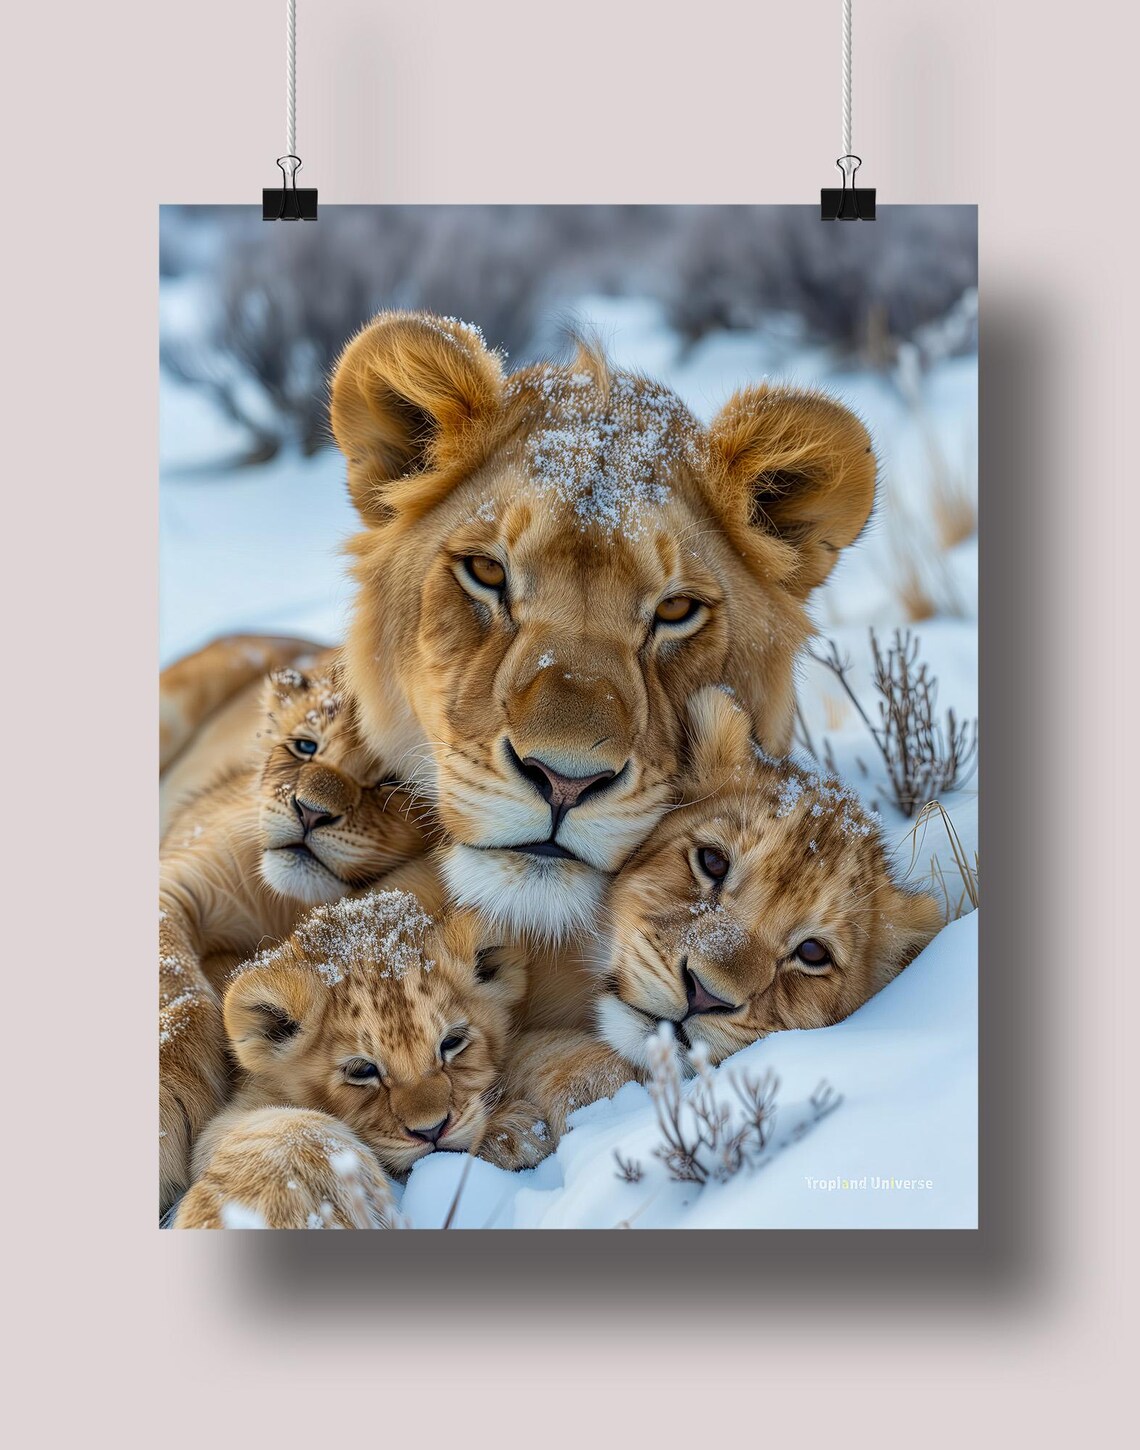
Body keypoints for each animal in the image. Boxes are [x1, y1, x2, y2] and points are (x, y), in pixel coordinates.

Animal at [159, 659, 435, 1214]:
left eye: (390, 782)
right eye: (305, 747)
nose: (309, 810)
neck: (286, 902)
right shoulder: (175, 879)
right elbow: (181, 993)